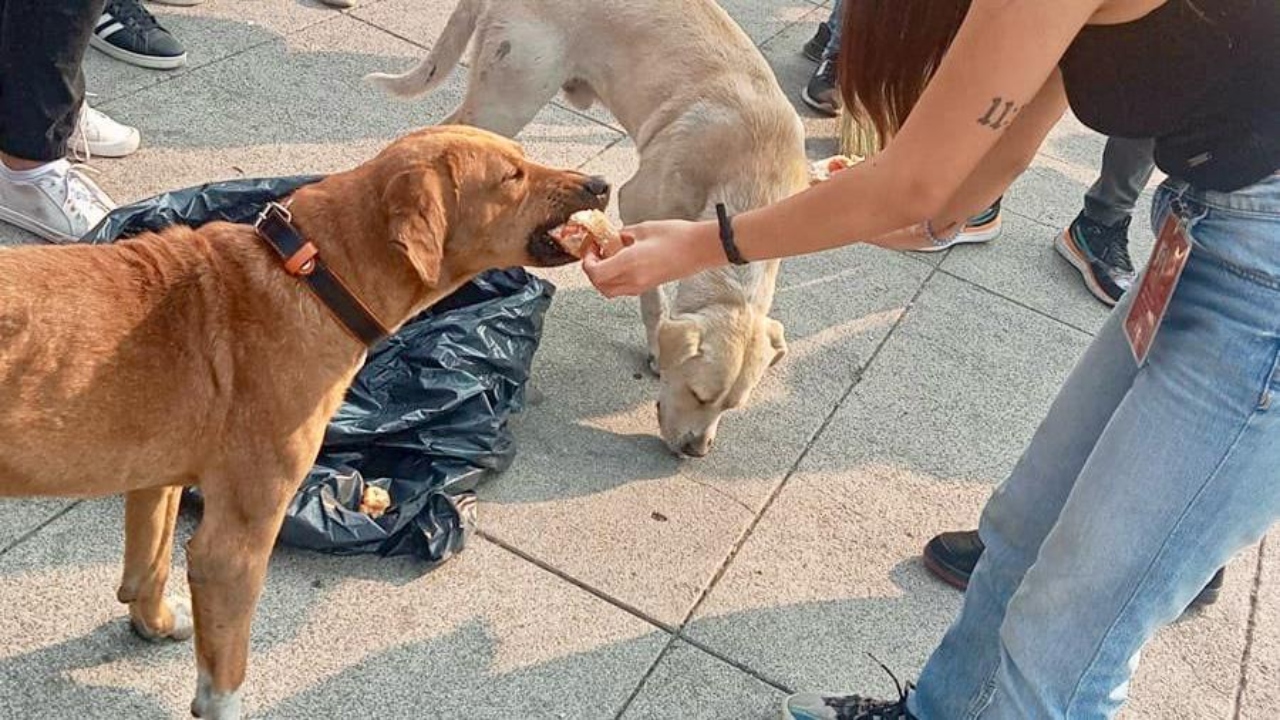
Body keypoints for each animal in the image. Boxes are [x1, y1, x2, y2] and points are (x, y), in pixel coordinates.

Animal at [0, 126, 606, 712]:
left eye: (522, 157)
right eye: (511, 176)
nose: (600, 184)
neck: (313, 274)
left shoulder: (156, 479)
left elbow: (146, 566)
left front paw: (155, 623)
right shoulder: (233, 547)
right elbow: (226, 676)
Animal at [371, 1, 803, 453]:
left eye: (732, 406)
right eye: (699, 394)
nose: (695, 451)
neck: (756, 171)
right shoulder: (639, 204)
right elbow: (653, 297)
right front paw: (655, 346)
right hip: (508, 96)